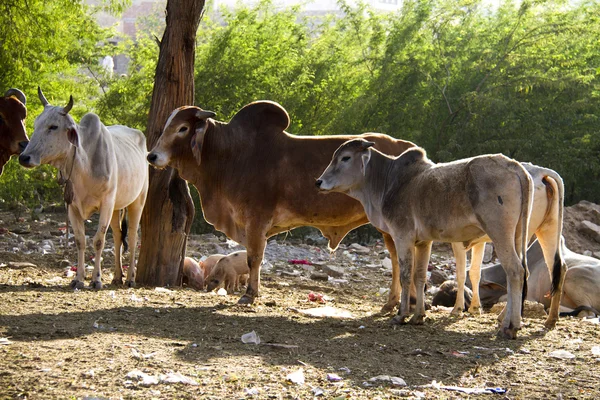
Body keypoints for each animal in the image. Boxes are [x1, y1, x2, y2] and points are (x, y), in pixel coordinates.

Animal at [19, 87, 148, 290]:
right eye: (36, 123)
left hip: (137, 201)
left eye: (53, 126)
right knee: (118, 236)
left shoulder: (106, 203)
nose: (24, 157)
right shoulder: (72, 206)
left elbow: (98, 240)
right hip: (116, 208)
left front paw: (96, 279)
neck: (84, 164)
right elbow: (80, 241)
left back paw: (130, 278)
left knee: (134, 237)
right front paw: (79, 278)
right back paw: (117, 276)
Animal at [148, 101, 414, 312]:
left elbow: (254, 258)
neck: (231, 155)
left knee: (399, 260)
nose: (152, 156)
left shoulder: (256, 219)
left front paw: (249, 295)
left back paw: (397, 303)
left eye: (183, 128)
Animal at [316, 139, 564, 340]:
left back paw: (510, 326)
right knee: (536, 270)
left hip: (500, 233)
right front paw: (418, 316)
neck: (388, 182)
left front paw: (401, 315)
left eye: (345, 158)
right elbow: (419, 276)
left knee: (515, 271)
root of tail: (516, 166)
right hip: (527, 233)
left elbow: (406, 275)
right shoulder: (424, 242)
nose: (319, 182)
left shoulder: (403, 236)